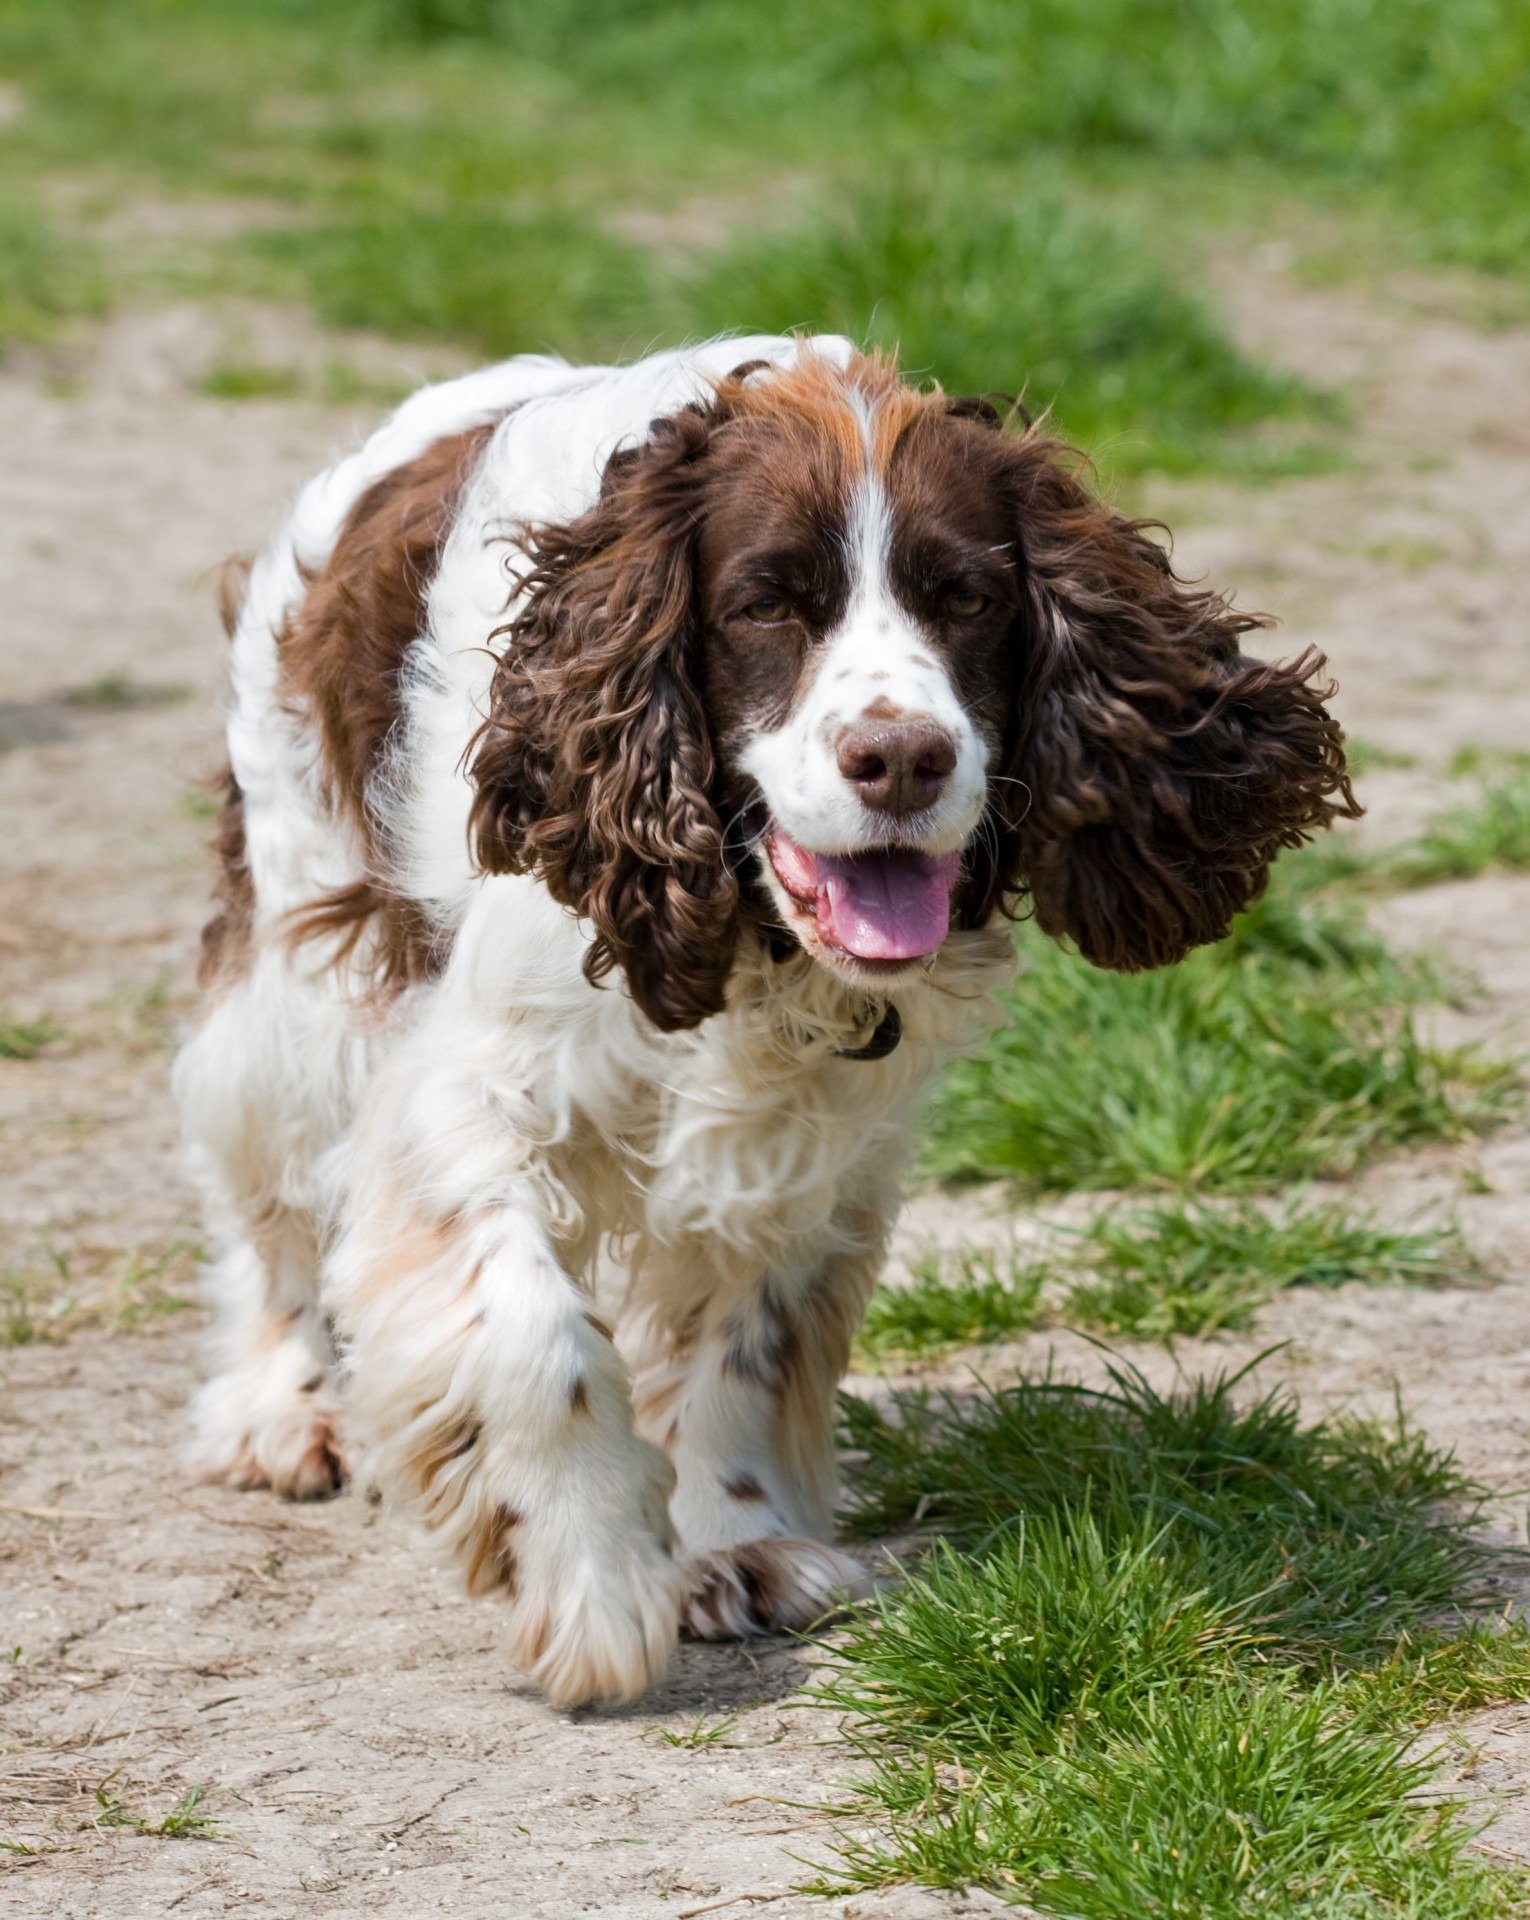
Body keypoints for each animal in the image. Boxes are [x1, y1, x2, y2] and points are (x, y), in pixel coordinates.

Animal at [172, 337, 1351, 1704]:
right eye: (766, 604)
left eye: (968, 598)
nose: (901, 758)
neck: (746, 932)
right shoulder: (469, 1093)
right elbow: (537, 1336)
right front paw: (593, 1580)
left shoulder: (807, 1140)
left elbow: (742, 1341)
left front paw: (731, 1540)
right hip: (305, 964)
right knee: (272, 1209)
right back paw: (284, 1408)